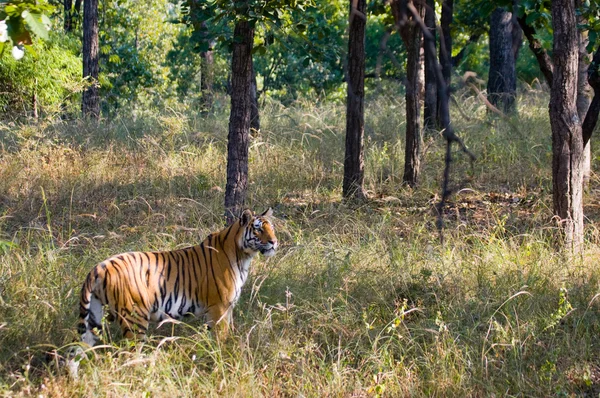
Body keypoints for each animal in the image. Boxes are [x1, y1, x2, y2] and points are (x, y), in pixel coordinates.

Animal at [77, 208, 278, 346]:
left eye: (272, 228)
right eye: (258, 230)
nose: (274, 242)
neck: (242, 256)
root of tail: (99, 267)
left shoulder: (227, 307)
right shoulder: (219, 307)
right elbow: (220, 336)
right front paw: (221, 355)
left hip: (94, 315)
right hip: (134, 318)